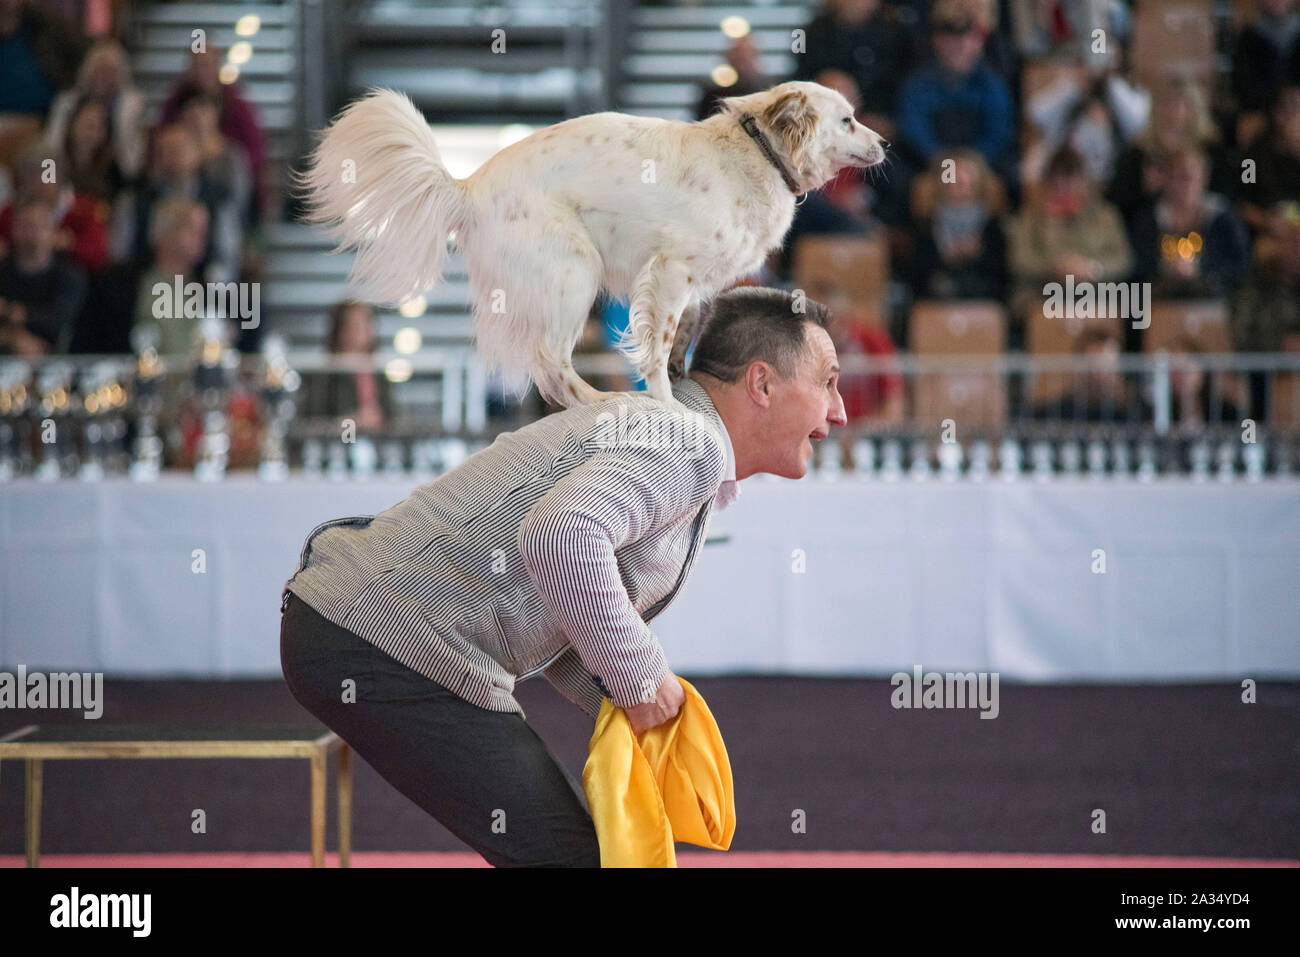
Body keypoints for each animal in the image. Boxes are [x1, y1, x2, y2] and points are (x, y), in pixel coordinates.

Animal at [293, 81, 889, 408]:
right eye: (848, 119)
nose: (886, 142)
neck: (757, 153)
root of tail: (467, 186)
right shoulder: (670, 271)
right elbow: (655, 348)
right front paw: (666, 403)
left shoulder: (697, 287)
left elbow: (682, 339)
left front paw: (680, 380)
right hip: (573, 272)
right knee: (551, 362)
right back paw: (601, 399)